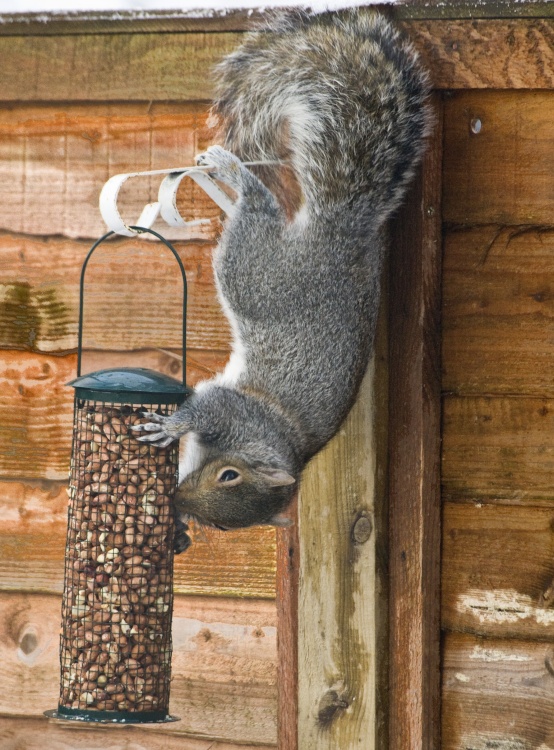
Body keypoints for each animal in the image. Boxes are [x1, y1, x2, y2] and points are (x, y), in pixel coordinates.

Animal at [133, 10, 431, 543]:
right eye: (228, 474)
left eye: (225, 520)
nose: (180, 503)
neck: (272, 444)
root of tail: (341, 227)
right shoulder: (234, 411)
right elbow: (203, 407)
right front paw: (170, 428)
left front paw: (179, 530)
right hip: (259, 272)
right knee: (259, 205)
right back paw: (233, 173)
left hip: (258, 268)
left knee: (258, 211)